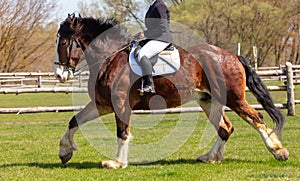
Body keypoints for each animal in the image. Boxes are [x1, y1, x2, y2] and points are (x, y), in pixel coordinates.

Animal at [54, 13, 288, 168]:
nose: (59, 74)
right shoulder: (103, 104)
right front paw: (65, 151)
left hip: (234, 99)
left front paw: (117, 162)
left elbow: (122, 132)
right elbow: (74, 121)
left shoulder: (120, 104)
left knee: (256, 118)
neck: (110, 58)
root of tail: (232, 55)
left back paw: (279, 151)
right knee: (225, 128)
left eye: (63, 43)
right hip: (208, 100)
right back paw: (210, 157)